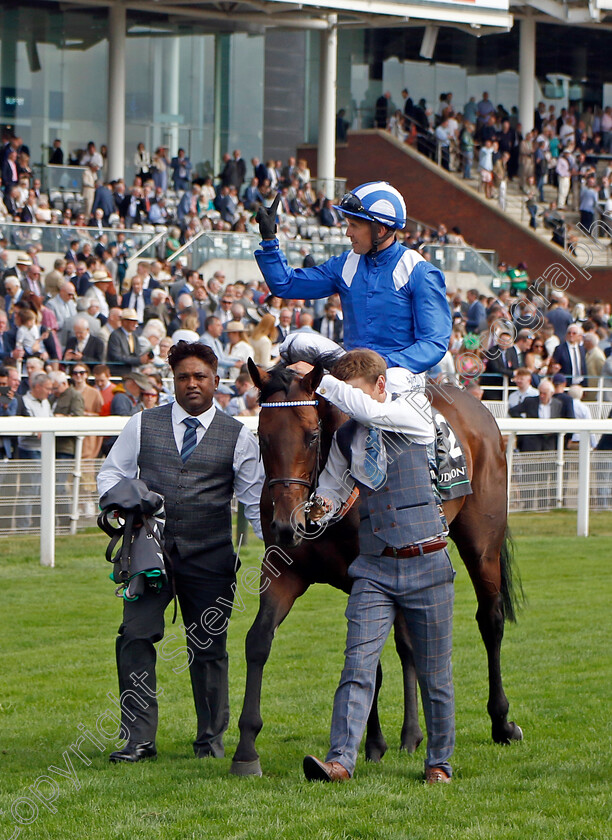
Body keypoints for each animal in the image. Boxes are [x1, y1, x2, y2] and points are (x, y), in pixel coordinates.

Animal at [230, 358, 520, 776]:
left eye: (311, 435)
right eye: (262, 436)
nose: (287, 525)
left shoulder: (365, 577)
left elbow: (373, 662)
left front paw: (373, 742)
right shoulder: (284, 572)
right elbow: (258, 641)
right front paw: (246, 749)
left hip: (482, 543)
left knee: (490, 620)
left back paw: (501, 722)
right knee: (411, 643)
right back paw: (412, 734)